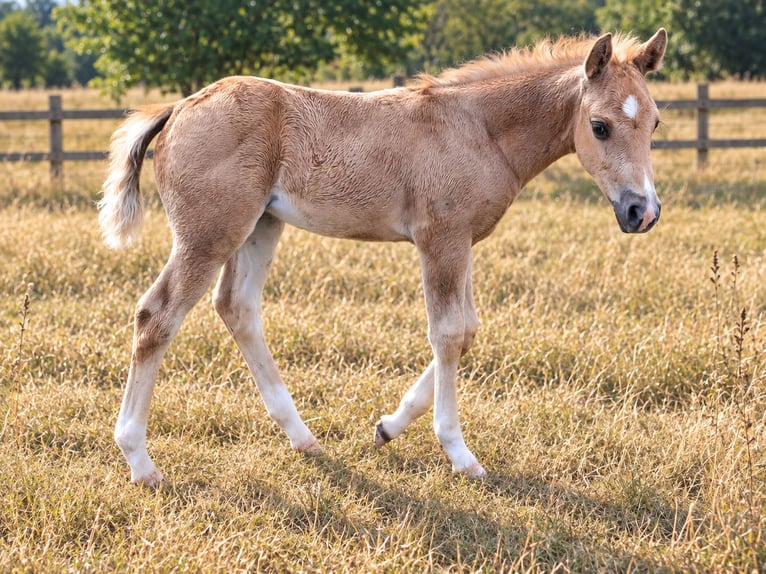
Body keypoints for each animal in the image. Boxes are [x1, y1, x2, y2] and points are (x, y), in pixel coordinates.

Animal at [99, 29, 668, 486]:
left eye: (656, 123)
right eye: (599, 125)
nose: (642, 211)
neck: (480, 129)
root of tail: (180, 107)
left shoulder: (461, 243)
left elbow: (467, 331)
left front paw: (387, 427)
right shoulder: (440, 241)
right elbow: (449, 335)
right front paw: (459, 454)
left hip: (262, 225)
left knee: (237, 307)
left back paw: (302, 437)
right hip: (209, 234)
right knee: (157, 316)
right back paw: (140, 462)